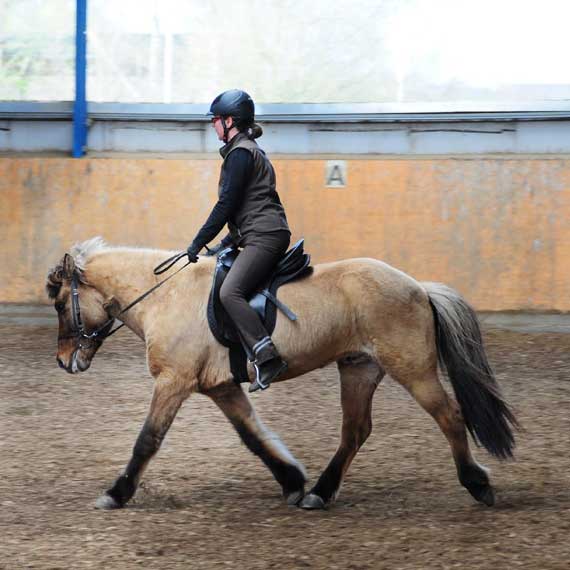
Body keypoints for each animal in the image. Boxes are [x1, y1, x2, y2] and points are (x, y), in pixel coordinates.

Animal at [45, 236, 516, 510]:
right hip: (359, 368)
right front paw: (292, 481)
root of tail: (418, 286)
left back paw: (477, 484)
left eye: (60, 303)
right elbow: (253, 436)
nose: (65, 361)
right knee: (355, 431)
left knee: (449, 416)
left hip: (412, 368)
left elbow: (148, 440)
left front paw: (116, 493)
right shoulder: (220, 387)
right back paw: (319, 493)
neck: (165, 295)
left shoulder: (174, 381)